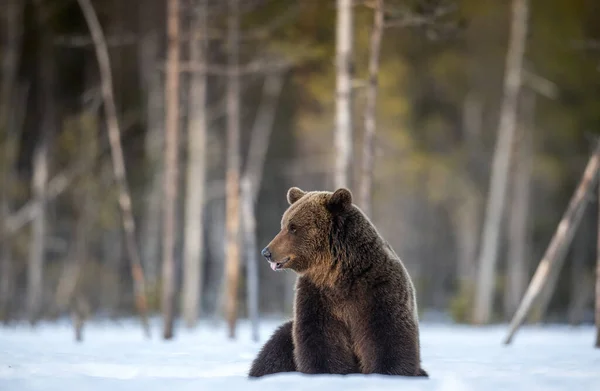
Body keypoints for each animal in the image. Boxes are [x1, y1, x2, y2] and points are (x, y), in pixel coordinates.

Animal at [247, 188, 426, 378]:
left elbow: (387, 336)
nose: (266, 252)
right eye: (284, 224)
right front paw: (330, 371)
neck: (337, 273)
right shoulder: (317, 295)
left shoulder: (378, 288)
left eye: (293, 227)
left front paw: (387, 372)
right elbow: (320, 339)